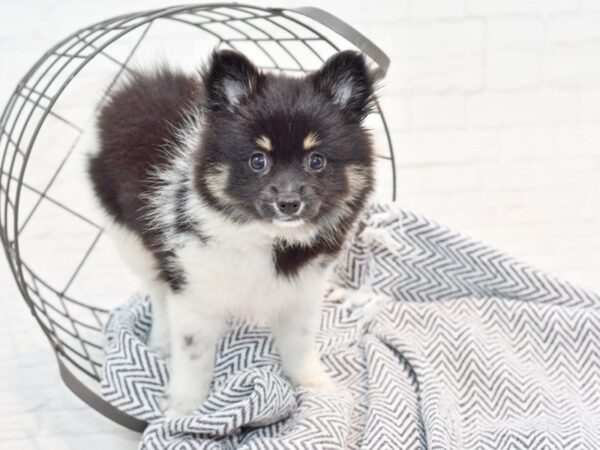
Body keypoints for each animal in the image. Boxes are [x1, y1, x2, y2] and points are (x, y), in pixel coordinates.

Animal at [86, 48, 376, 414]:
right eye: (258, 160)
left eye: (316, 161)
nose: (288, 203)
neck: (266, 237)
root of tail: (129, 90)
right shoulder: (193, 290)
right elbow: (193, 355)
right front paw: (184, 407)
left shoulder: (303, 290)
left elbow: (300, 344)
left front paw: (315, 385)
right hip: (130, 238)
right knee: (157, 291)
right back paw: (161, 340)